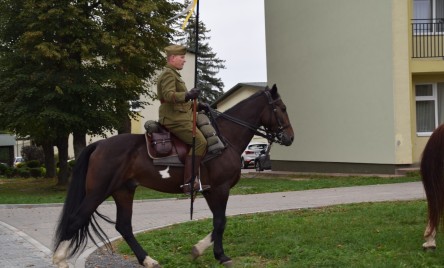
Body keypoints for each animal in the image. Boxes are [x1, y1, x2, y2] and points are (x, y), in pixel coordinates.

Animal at [52, 84, 294, 268]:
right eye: (282, 108)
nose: (290, 137)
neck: (225, 138)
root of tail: (99, 145)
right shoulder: (220, 188)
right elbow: (220, 221)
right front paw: (220, 255)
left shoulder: (208, 189)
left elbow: (219, 221)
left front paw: (200, 250)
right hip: (98, 192)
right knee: (76, 219)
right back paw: (60, 259)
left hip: (123, 191)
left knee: (124, 226)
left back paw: (147, 259)